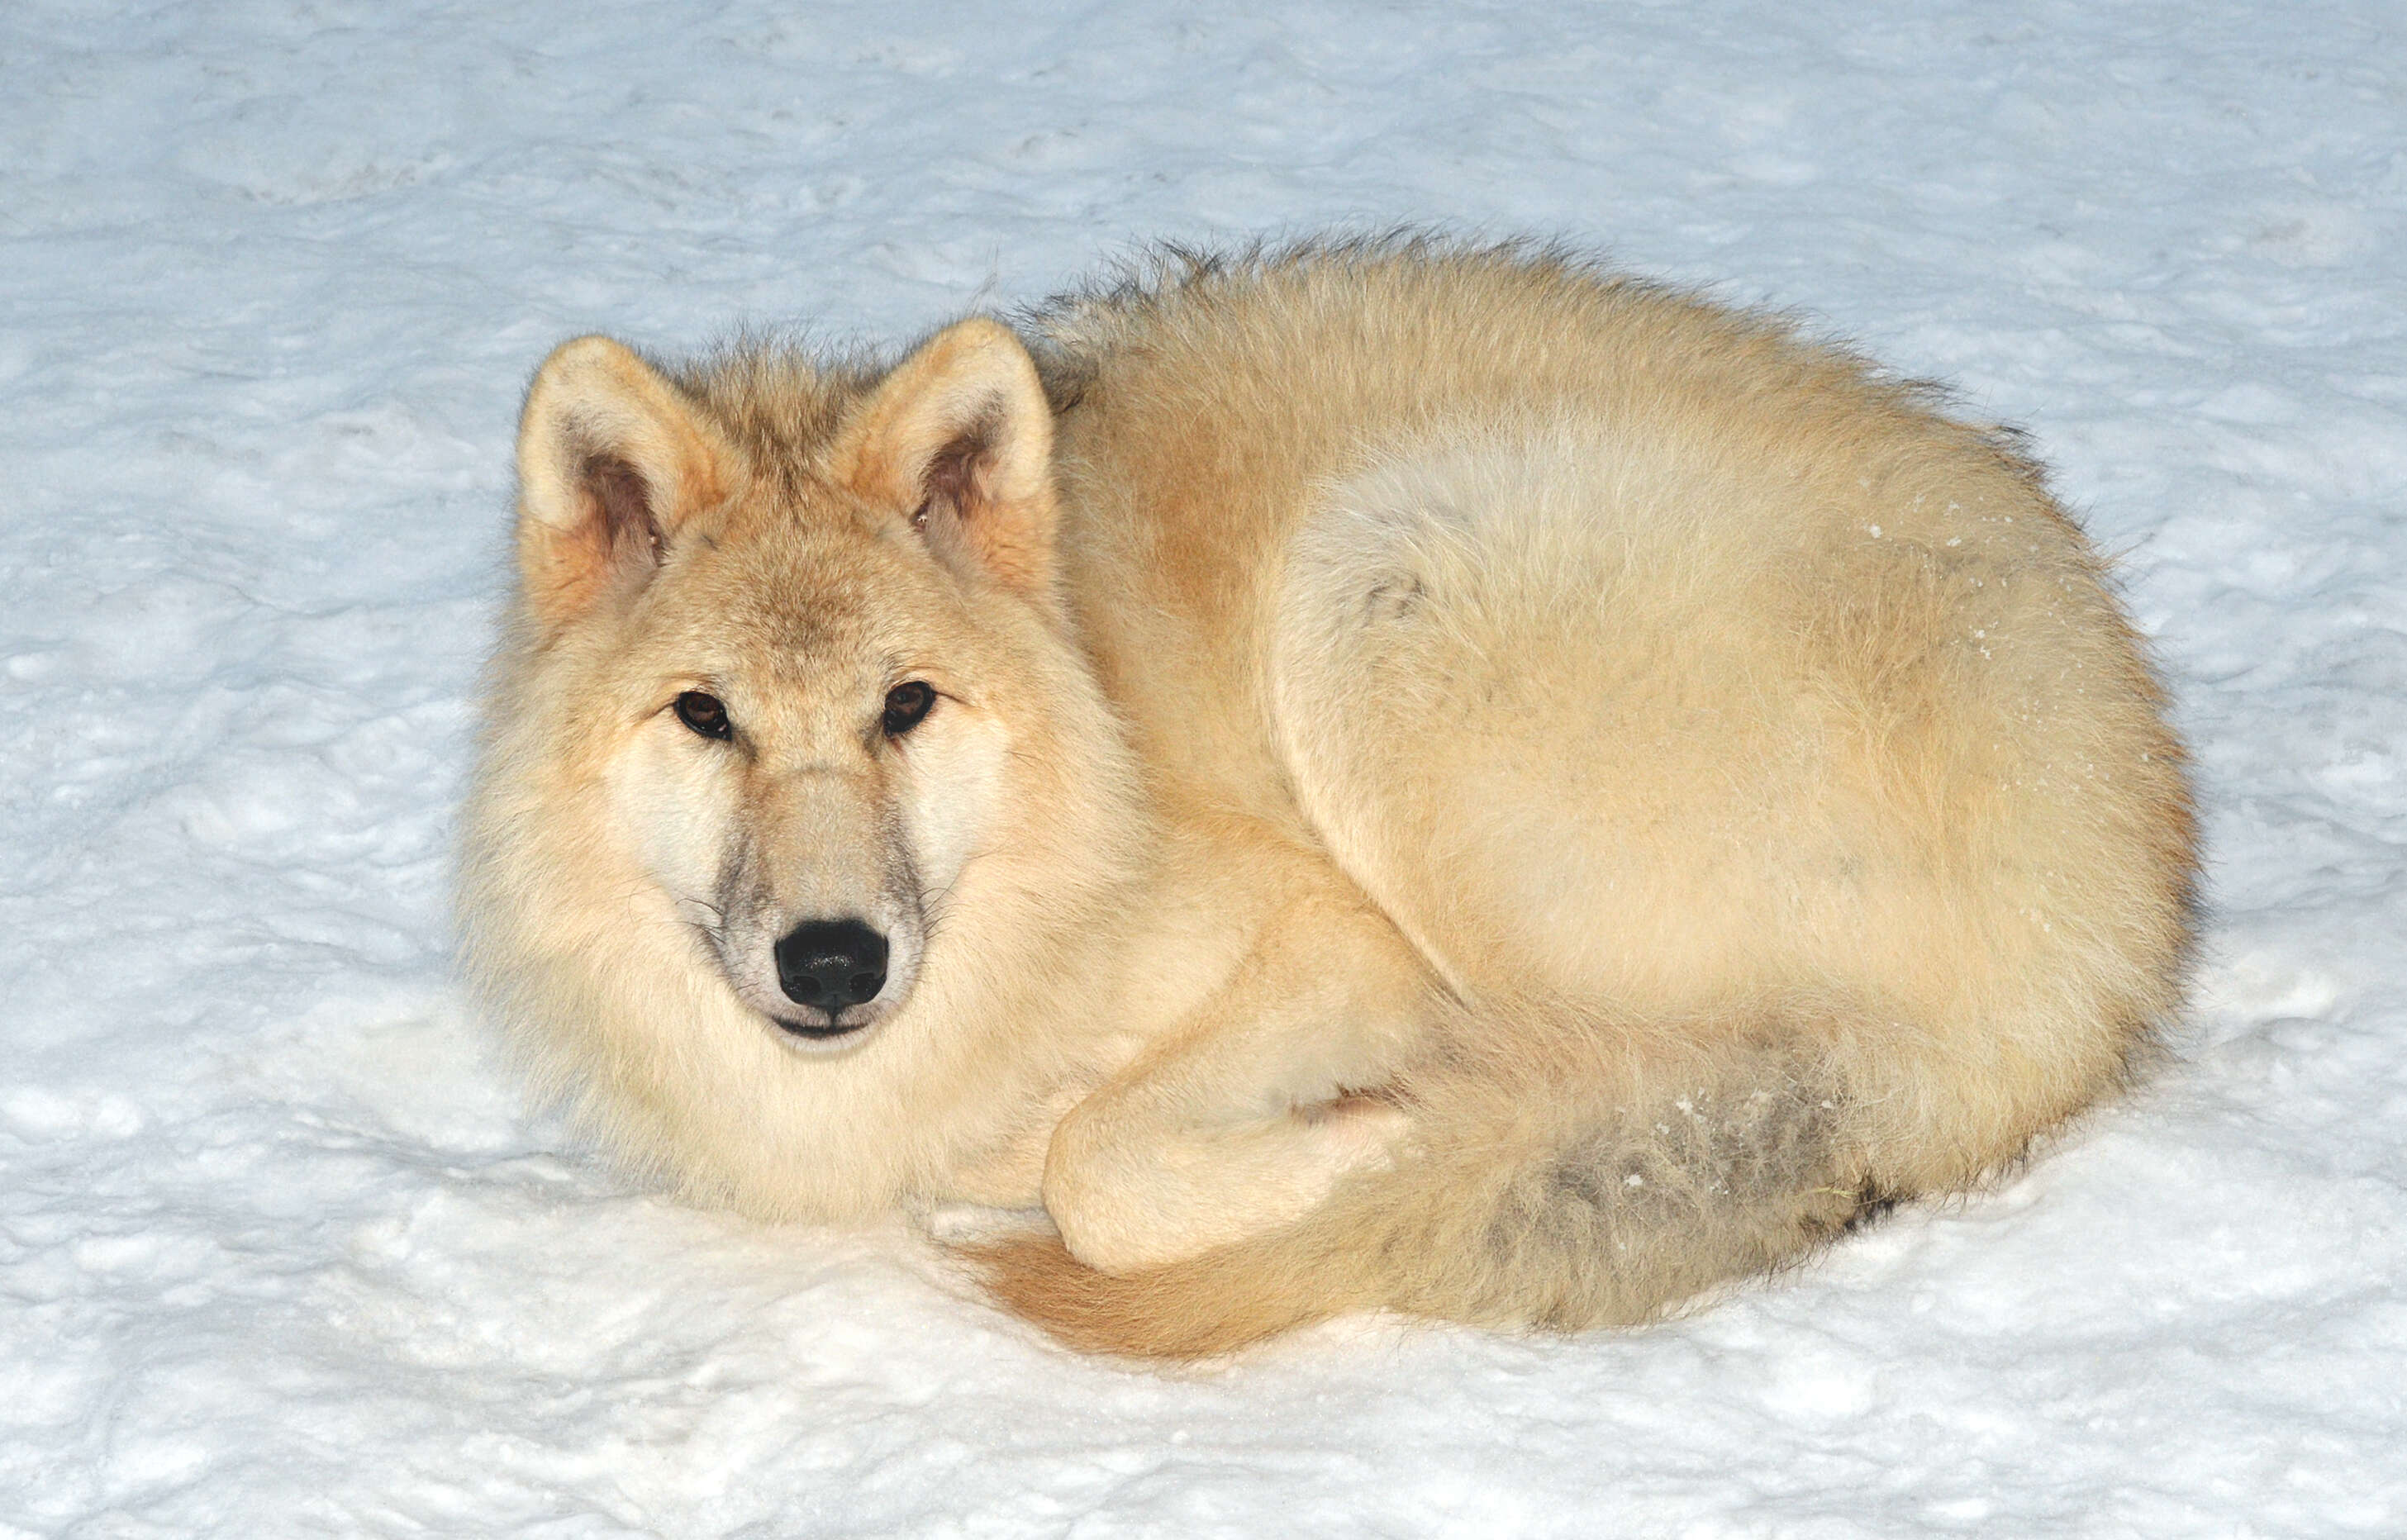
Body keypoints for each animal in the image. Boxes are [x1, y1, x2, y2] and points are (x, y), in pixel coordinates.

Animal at [454, 234, 2205, 1357]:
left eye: (905, 705)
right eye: (707, 716)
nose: (832, 962)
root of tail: (2107, 931)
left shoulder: (1322, 932)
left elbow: (1094, 1159)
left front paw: (1347, 1126)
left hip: (1386, 575)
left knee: (1643, 1080)